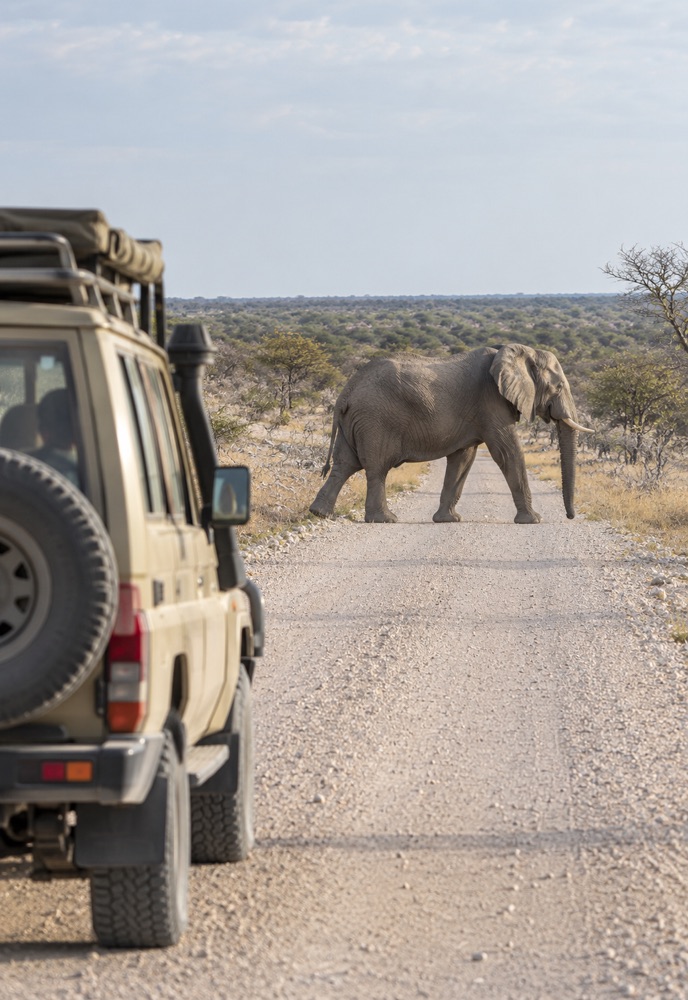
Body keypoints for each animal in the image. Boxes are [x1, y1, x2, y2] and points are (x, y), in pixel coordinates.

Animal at [309, 343, 592, 524]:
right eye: (558, 387)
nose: (570, 516)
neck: (520, 352)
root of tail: (346, 392)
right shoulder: (491, 401)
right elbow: (507, 452)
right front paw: (533, 520)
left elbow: (463, 459)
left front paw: (448, 520)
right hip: (375, 420)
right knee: (376, 469)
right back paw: (385, 520)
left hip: (355, 421)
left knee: (344, 465)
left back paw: (320, 514)